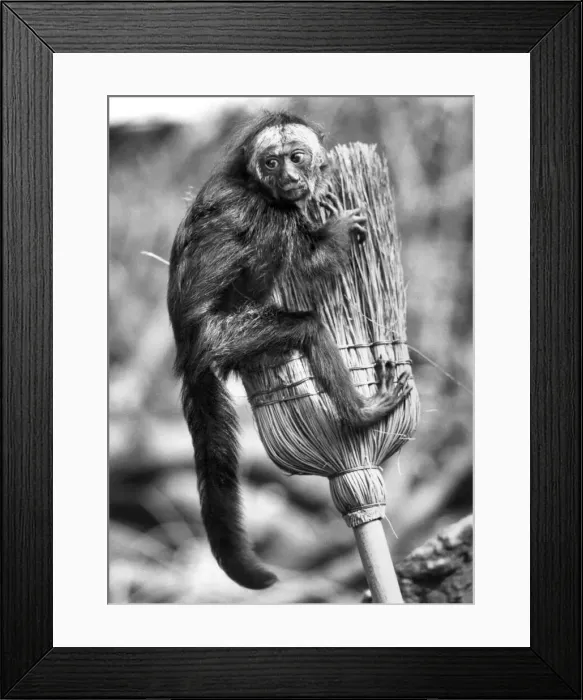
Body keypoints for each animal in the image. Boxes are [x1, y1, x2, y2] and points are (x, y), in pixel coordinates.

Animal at [167, 111, 412, 590]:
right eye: (272, 163)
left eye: (296, 157)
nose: (290, 176)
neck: (257, 188)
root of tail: (188, 352)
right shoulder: (268, 214)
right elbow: (292, 268)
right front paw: (333, 236)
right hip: (227, 335)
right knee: (305, 325)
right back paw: (361, 414)